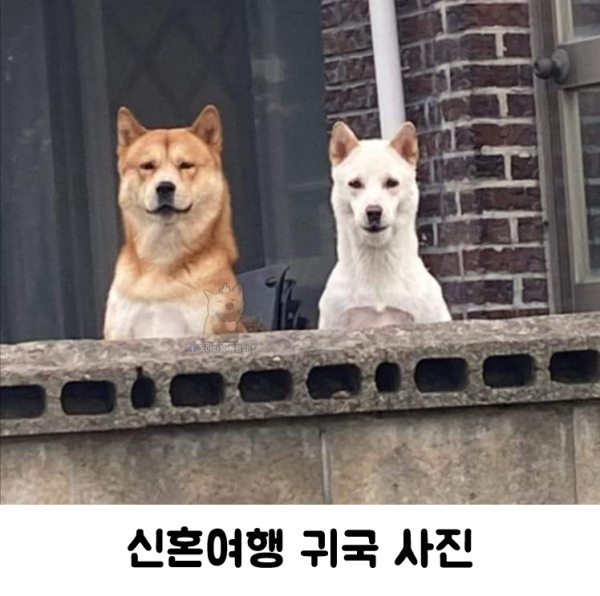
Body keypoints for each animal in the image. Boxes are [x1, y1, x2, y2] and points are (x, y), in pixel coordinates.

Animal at [104, 105, 246, 340]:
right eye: (147, 166)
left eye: (186, 165)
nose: (164, 187)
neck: (161, 259)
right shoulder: (120, 331)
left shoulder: (203, 324)